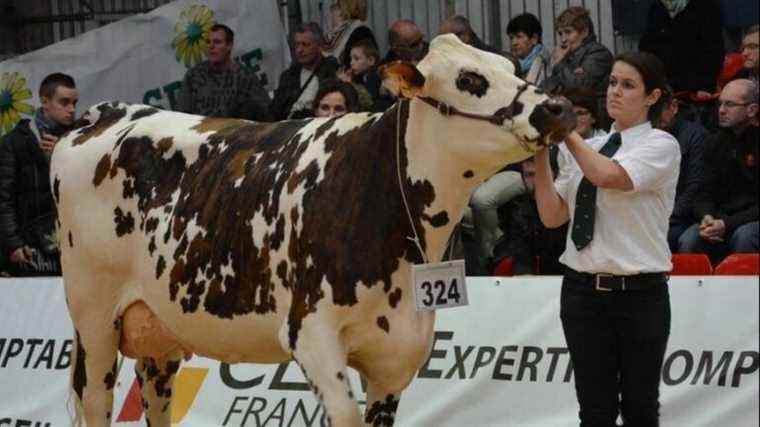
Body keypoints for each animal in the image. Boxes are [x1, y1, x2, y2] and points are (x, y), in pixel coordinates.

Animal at [52, 34, 576, 427]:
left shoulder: (396, 353)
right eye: (470, 79)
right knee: (96, 402)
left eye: (510, 65)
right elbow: (343, 414)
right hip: (95, 321)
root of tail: (109, 113)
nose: (557, 107)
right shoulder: (311, 333)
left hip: (157, 330)